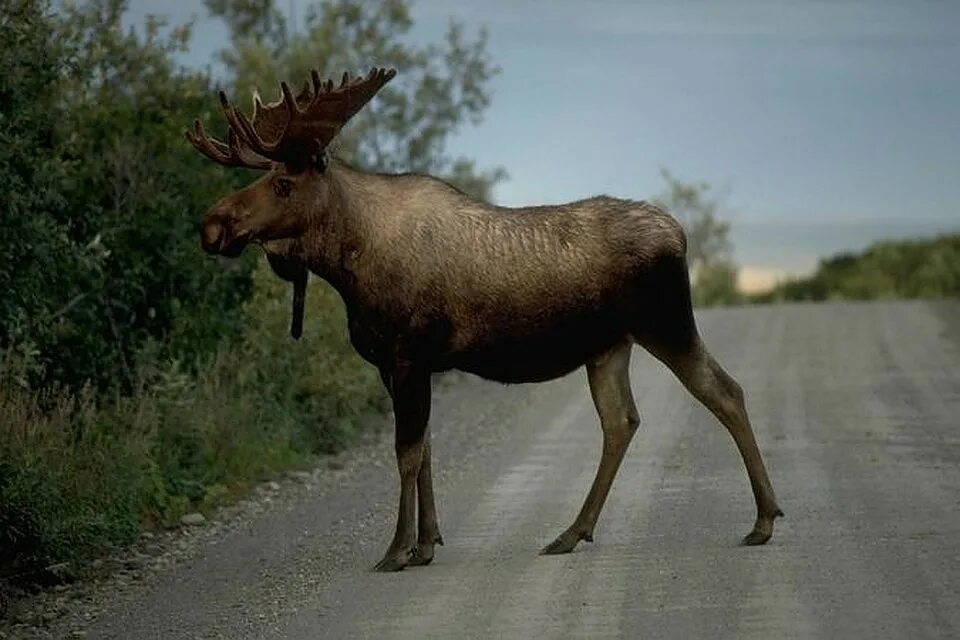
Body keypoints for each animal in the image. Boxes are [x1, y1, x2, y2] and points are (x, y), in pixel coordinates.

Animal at [186, 67, 780, 572]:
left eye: (284, 184)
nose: (212, 225)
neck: (349, 266)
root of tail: (679, 233)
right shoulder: (395, 365)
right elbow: (425, 449)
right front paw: (426, 544)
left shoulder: (408, 355)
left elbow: (406, 453)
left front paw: (397, 550)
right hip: (609, 347)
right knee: (622, 421)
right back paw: (571, 532)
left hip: (667, 324)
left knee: (725, 391)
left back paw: (764, 520)